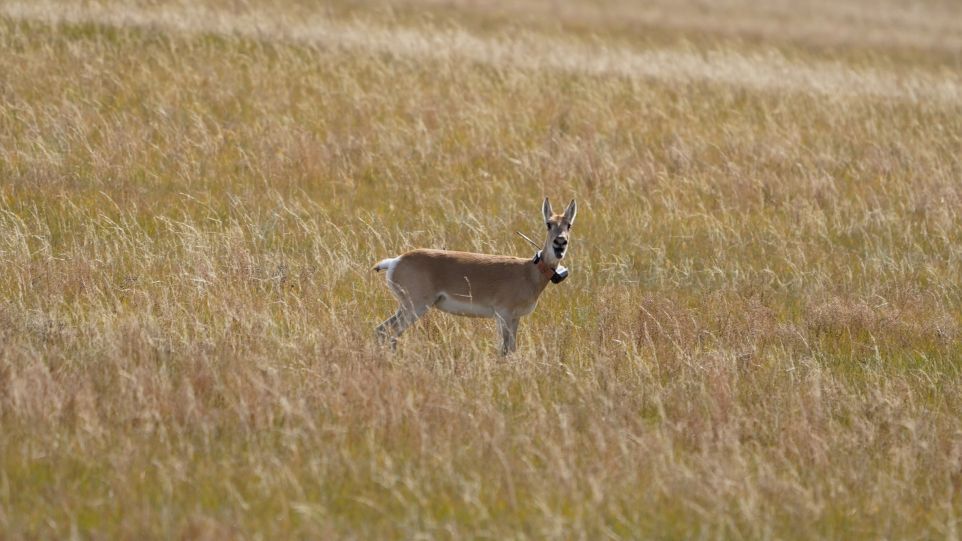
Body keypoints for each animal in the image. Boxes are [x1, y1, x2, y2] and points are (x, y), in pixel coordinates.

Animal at [373, 198, 577, 355]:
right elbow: (504, 350)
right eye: (548, 223)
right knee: (390, 332)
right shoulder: (503, 315)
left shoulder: (515, 318)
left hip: (407, 308)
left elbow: (512, 349)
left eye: (568, 224)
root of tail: (395, 261)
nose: (560, 242)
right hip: (415, 307)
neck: (528, 271)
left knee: (382, 330)